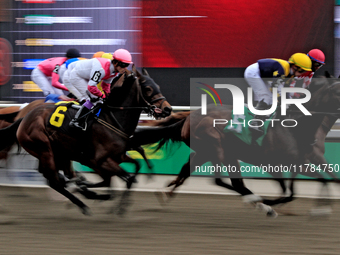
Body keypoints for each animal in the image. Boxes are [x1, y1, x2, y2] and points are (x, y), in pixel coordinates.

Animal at [0, 68, 170, 215]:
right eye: (148, 89)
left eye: (158, 86)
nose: (167, 109)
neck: (112, 120)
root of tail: (24, 118)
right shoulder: (100, 160)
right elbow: (126, 178)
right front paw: (109, 201)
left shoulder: (118, 156)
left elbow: (134, 168)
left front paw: (118, 205)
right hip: (44, 150)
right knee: (55, 181)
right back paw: (83, 203)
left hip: (60, 153)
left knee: (57, 177)